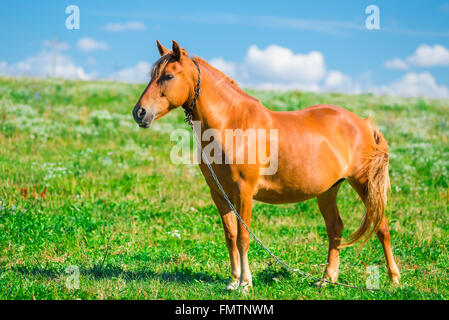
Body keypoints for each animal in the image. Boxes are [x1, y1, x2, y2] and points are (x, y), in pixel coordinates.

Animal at [132, 39, 400, 290]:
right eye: (152, 75)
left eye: (168, 76)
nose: (139, 113)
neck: (232, 123)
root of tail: (363, 123)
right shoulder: (219, 194)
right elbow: (230, 236)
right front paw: (233, 280)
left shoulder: (243, 191)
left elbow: (243, 237)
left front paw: (245, 283)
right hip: (328, 190)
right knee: (335, 228)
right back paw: (327, 279)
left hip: (364, 183)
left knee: (381, 226)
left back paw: (393, 279)